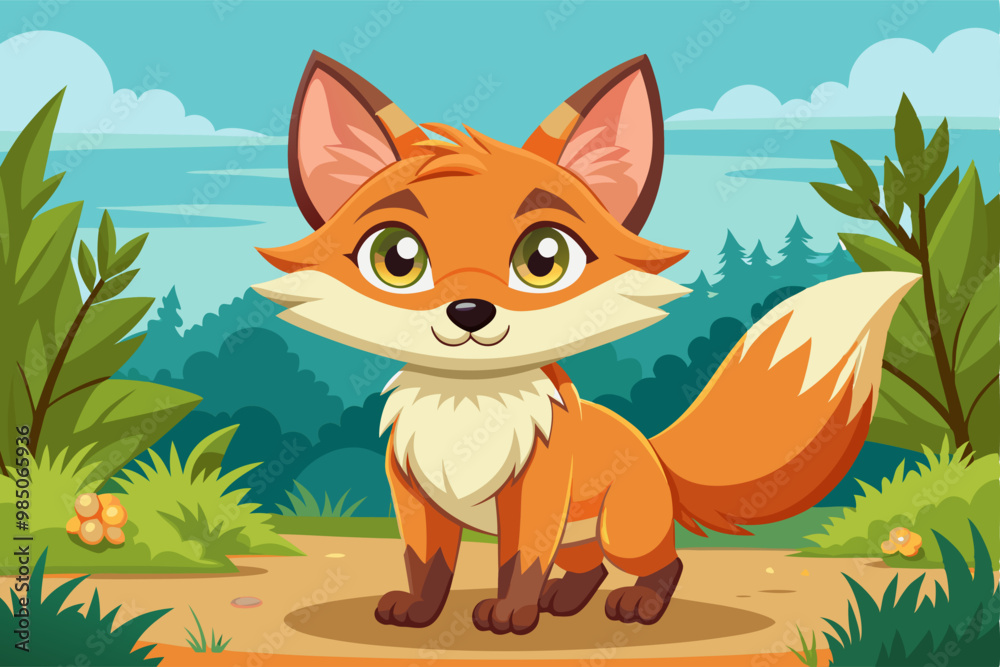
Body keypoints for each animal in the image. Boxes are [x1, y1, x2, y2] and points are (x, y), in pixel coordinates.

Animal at [253, 52, 920, 635]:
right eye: (397, 257)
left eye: (544, 257)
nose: (469, 311)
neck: (468, 409)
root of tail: (652, 449)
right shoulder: (415, 493)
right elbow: (427, 564)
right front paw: (418, 612)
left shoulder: (537, 492)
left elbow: (519, 560)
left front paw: (509, 616)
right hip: (586, 535)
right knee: (588, 565)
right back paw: (566, 600)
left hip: (626, 527)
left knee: (664, 562)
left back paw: (636, 605)